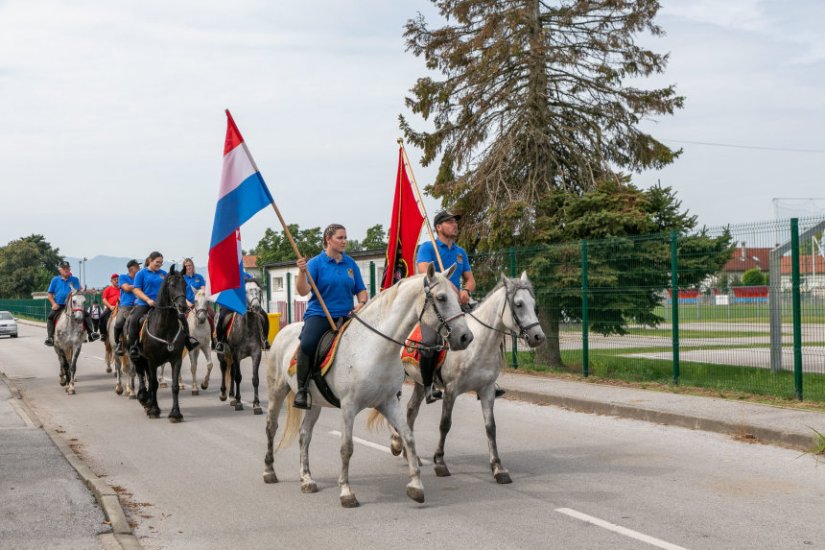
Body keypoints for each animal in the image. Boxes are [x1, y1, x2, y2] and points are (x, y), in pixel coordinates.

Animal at [132, 268, 188, 422]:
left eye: (185, 285)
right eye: (172, 285)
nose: (183, 306)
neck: (165, 327)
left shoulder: (176, 359)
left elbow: (174, 386)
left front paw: (175, 413)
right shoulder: (152, 360)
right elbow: (154, 384)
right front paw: (154, 410)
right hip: (138, 357)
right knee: (141, 374)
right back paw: (144, 399)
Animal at [216, 284, 268, 414]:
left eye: (259, 291)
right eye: (245, 291)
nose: (256, 307)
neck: (247, 326)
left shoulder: (256, 353)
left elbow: (255, 379)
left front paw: (256, 404)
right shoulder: (236, 354)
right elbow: (238, 377)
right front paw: (239, 402)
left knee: (231, 371)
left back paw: (232, 397)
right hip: (223, 353)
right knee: (224, 368)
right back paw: (224, 394)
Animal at [260, 266, 474, 512]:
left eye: (458, 297)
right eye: (441, 298)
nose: (466, 337)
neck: (375, 348)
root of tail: (285, 330)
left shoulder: (388, 402)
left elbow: (408, 437)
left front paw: (416, 486)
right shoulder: (348, 407)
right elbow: (347, 447)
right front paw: (346, 492)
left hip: (314, 403)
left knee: (304, 435)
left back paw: (306, 479)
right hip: (277, 390)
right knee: (271, 427)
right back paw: (269, 471)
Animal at [384, 274, 544, 486]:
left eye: (533, 304)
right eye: (518, 304)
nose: (538, 337)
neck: (478, 346)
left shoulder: (487, 390)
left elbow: (490, 428)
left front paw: (498, 468)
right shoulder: (451, 390)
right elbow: (445, 424)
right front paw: (440, 462)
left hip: (419, 382)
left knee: (411, 410)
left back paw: (410, 454)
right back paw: (396, 442)